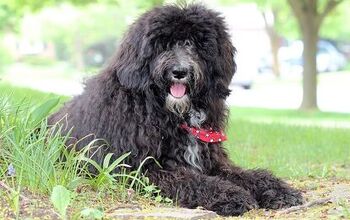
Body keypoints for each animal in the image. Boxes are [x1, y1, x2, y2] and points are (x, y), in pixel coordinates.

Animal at [47, 4, 302, 216]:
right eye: (163, 44)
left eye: (196, 44)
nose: (180, 71)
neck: (171, 113)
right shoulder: (140, 169)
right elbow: (193, 181)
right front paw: (231, 195)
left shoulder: (212, 162)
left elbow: (250, 175)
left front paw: (279, 190)